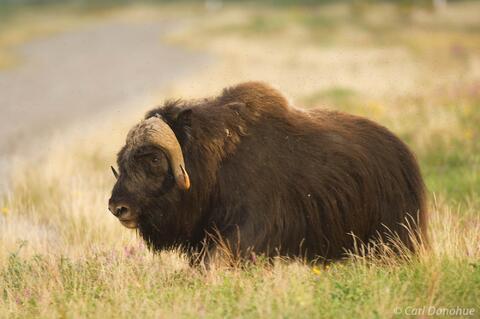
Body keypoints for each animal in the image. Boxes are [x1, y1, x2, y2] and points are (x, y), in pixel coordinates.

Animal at [109, 82, 428, 262]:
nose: (117, 207)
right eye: (122, 159)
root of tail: (405, 154)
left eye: (153, 158)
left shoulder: (248, 228)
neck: (216, 163)